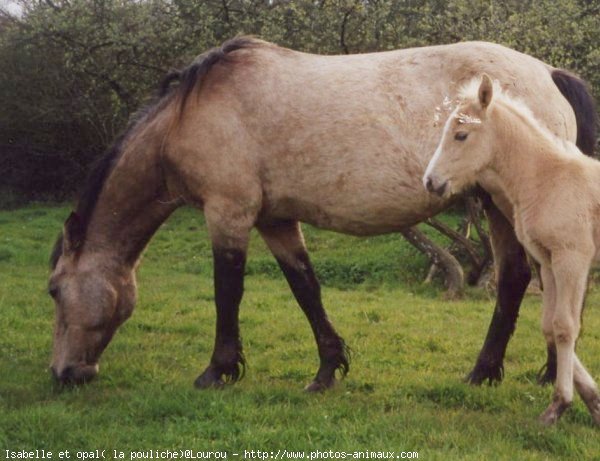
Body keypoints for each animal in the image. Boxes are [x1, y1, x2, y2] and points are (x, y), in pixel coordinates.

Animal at [48, 37, 596, 392]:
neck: (192, 114)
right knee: (535, 277)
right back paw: (542, 371)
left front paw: (217, 371)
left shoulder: (228, 213)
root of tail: (549, 74)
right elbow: (305, 288)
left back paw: (491, 372)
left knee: (524, 278)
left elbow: (227, 290)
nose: (64, 373)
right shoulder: (273, 219)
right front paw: (328, 369)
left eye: (53, 290)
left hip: (505, 205)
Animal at [422, 74, 600, 424]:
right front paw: (594, 401)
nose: (431, 182)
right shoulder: (548, 261)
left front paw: (558, 405)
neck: (549, 179)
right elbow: (550, 326)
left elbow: (566, 327)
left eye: (461, 134)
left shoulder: (572, 258)